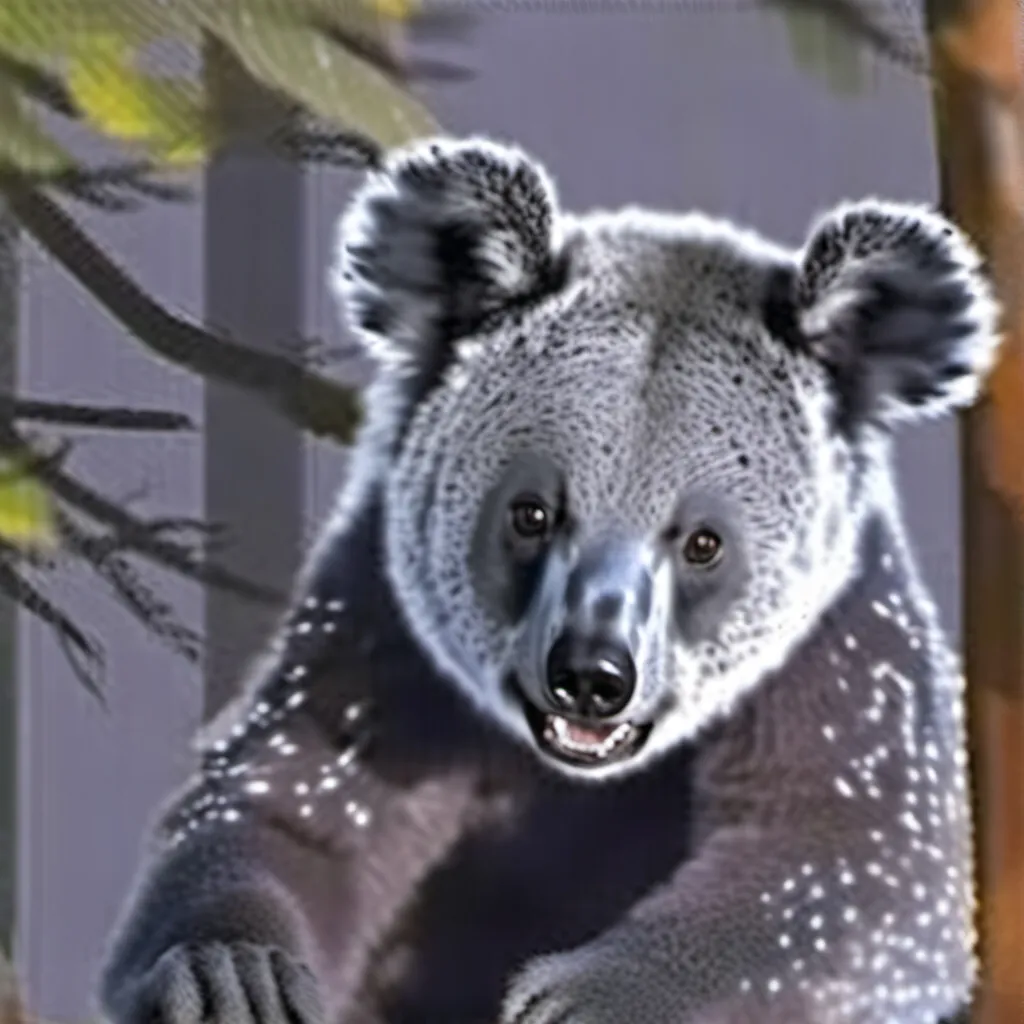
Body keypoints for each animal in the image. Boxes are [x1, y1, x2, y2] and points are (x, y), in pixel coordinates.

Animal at [97, 135, 999, 1024]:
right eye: (530, 514)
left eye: (704, 543)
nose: (591, 678)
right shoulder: (381, 621)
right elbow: (296, 802)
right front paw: (230, 968)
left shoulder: (836, 657)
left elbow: (850, 861)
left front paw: (592, 998)